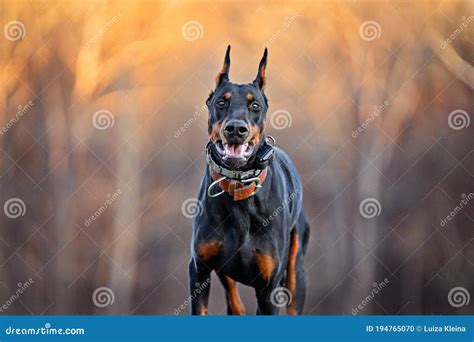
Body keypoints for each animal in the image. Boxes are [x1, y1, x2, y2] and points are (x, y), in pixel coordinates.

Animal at [189, 45, 312, 316]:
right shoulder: (199, 270)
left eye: (254, 105)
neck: (239, 190)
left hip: (296, 270)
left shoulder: (268, 288)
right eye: (221, 102)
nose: (236, 129)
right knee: (235, 304)